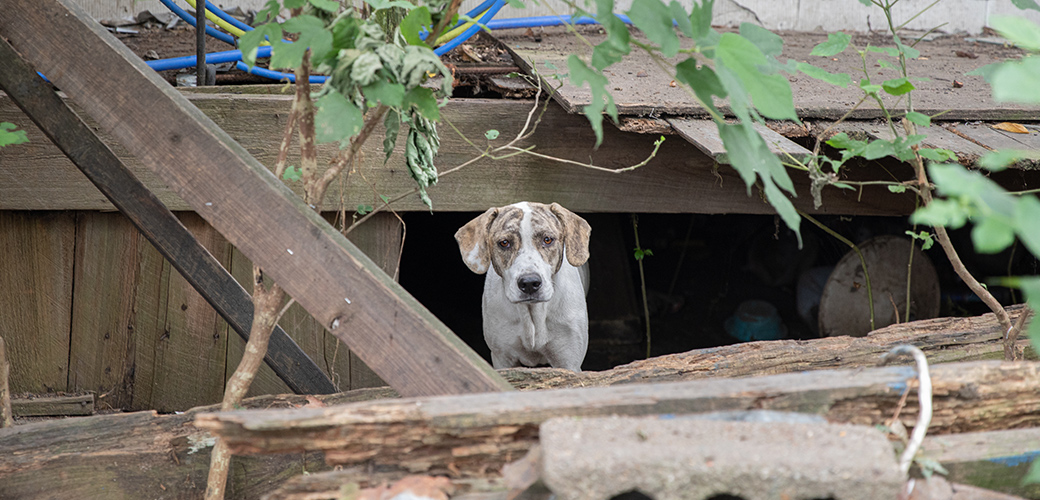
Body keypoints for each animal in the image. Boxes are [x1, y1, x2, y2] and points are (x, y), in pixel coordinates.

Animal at [457, 201, 594, 370]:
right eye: (504, 243)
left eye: (547, 239)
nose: (529, 283)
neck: (532, 315)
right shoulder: (503, 359)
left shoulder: (568, 361)